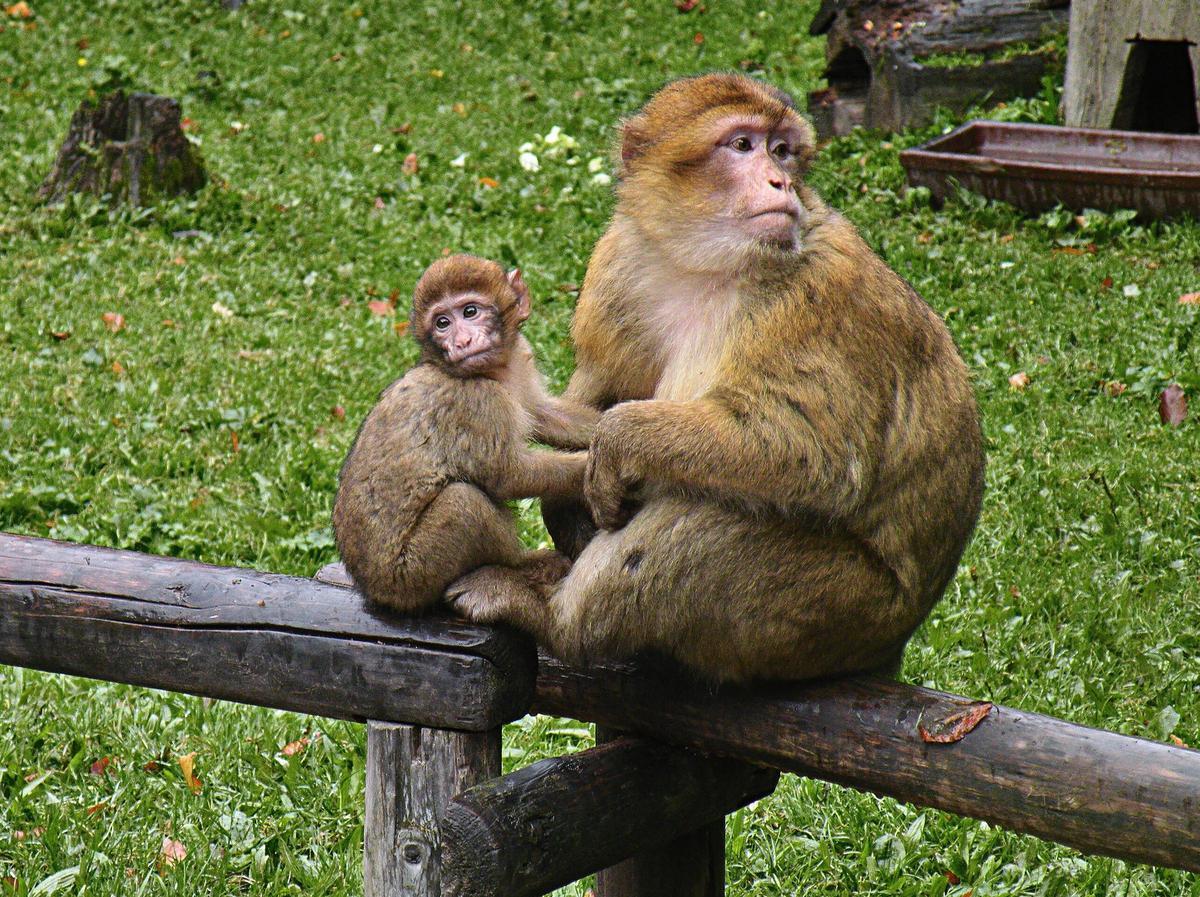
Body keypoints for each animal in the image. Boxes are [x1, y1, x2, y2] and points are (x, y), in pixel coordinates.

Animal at [332, 254, 599, 613]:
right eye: (442, 323)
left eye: (470, 311)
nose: (461, 342)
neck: (494, 373)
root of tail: (372, 591)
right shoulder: (478, 400)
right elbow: (509, 476)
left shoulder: (520, 360)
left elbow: (542, 414)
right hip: (412, 575)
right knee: (463, 501)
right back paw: (521, 564)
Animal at [448, 73, 985, 684]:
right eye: (743, 146)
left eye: (782, 151)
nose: (780, 180)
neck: (705, 266)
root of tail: (888, 649)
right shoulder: (621, 262)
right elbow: (600, 392)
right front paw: (565, 471)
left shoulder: (817, 296)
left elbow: (815, 456)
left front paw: (618, 440)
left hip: (837, 615)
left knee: (703, 511)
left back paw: (555, 619)